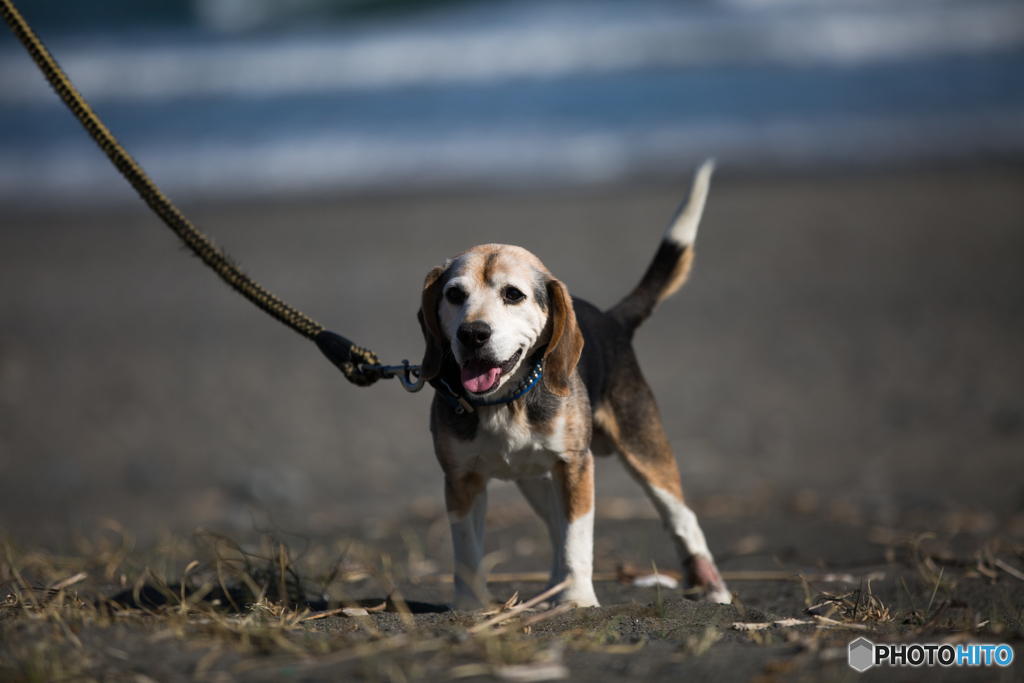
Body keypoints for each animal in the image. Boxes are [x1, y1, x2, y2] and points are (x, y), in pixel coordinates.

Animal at [415, 161, 729, 610]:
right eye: (454, 295)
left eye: (514, 295)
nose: (472, 333)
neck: (506, 401)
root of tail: (612, 319)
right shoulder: (461, 479)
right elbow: (467, 549)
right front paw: (470, 607)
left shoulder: (576, 467)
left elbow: (576, 539)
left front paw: (578, 598)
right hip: (536, 480)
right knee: (552, 525)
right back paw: (551, 589)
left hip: (644, 452)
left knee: (681, 517)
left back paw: (713, 586)